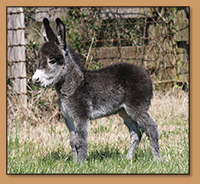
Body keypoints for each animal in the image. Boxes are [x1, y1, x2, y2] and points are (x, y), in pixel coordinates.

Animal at [32, 18, 161, 162]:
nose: (34, 80)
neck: (74, 85)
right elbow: (72, 142)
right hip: (124, 111)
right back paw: (128, 159)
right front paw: (74, 163)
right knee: (136, 133)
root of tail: (147, 76)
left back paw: (157, 160)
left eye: (52, 61)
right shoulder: (69, 118)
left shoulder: (81, 116)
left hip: (136, 108)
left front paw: (81, 164)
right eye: (40, 60)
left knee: (152, 128)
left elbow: (81, 142)